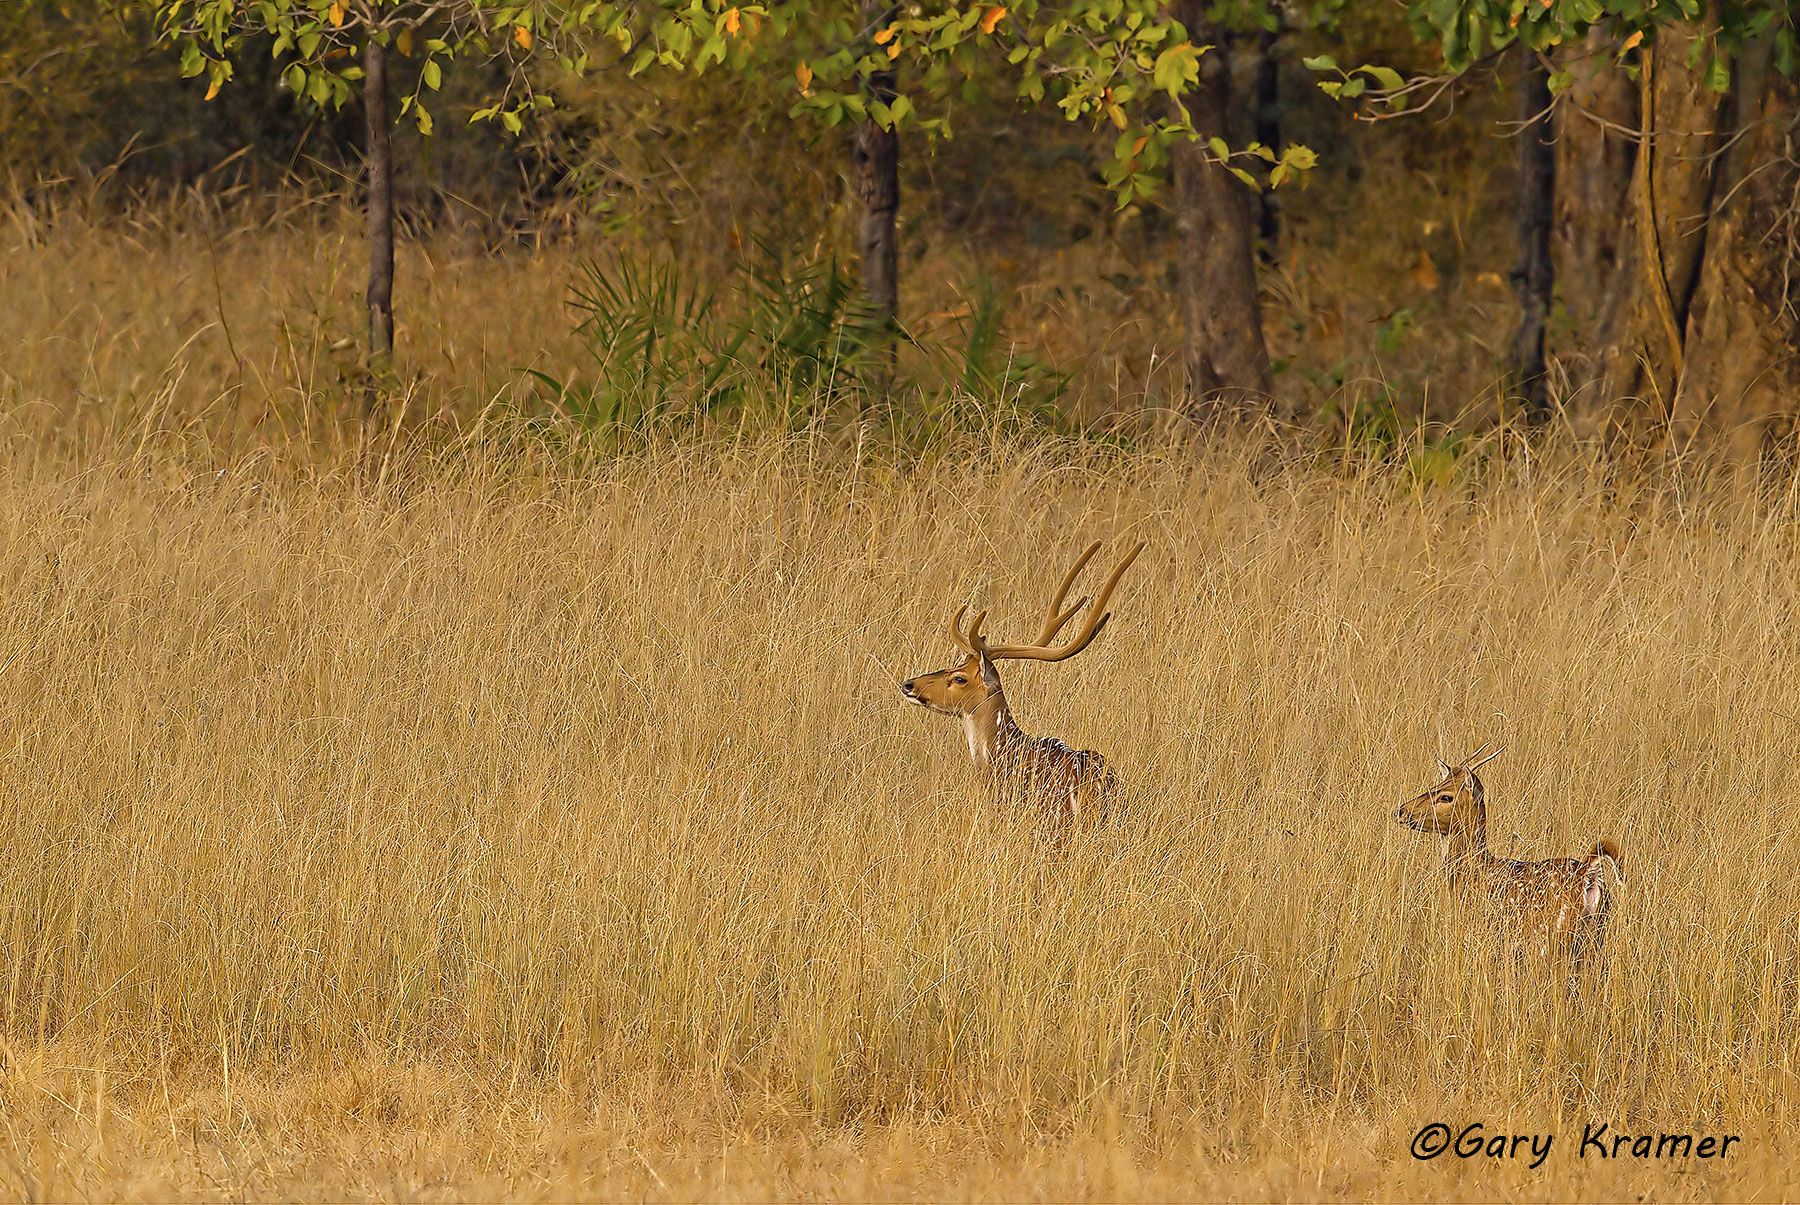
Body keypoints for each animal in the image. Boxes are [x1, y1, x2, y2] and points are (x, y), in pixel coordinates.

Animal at [1394, 743, 1624, 978]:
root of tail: (1590, 874)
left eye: (1446, 796)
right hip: (1595, 937)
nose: (1401, 811)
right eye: (1436, 784)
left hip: (1552, 939)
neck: (1474, 872)